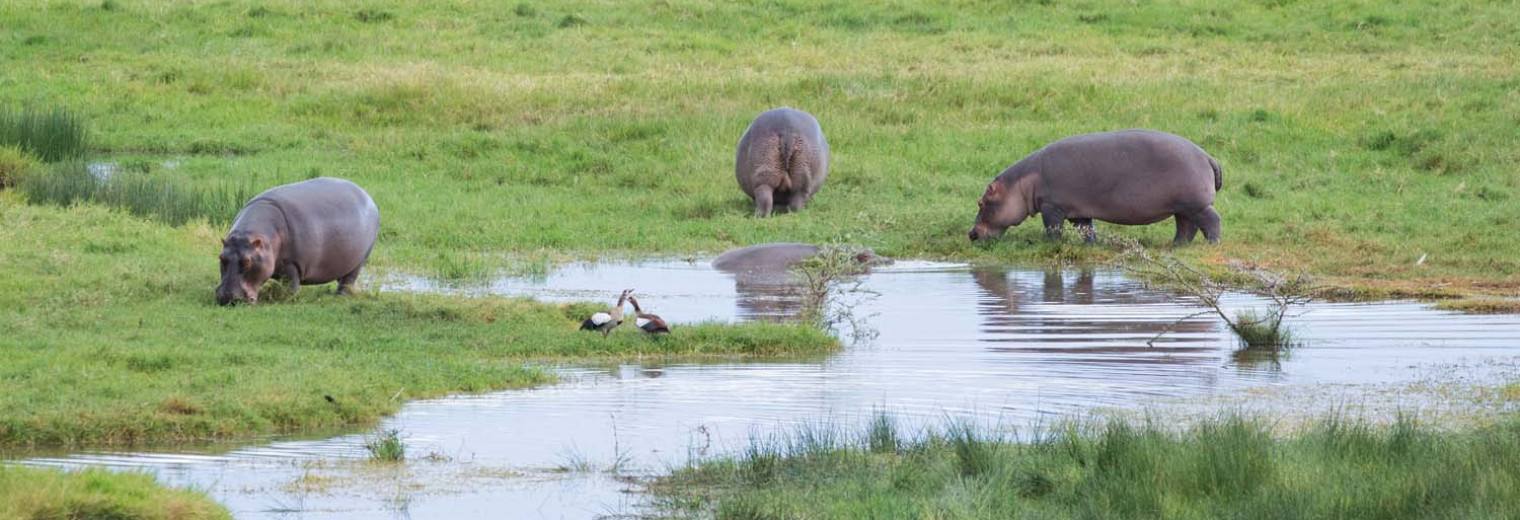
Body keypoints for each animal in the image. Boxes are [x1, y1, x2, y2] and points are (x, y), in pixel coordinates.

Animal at [214, 177, 380, 304]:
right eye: (221, 258)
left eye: (247, 261)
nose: (227, 297)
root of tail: (367, 196)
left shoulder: (292, 263)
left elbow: (292, 284)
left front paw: (288, 299)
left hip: (361, 259)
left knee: (349, 279)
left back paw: (340, 296)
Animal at [972, 129, 1222, 244]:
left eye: (981, 202)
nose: (971, 233)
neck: (1022, 184)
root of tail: (1207, 156)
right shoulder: (1078, 210)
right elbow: (1086, 229)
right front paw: (1090, 245)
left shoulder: (1051, 206)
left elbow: (1053, 227)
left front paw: (1052, 244)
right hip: (1183, 206)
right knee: (1186, 227)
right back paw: (1176, 246)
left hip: (1195, 204)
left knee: (1211, 220)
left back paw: (1212, 244)